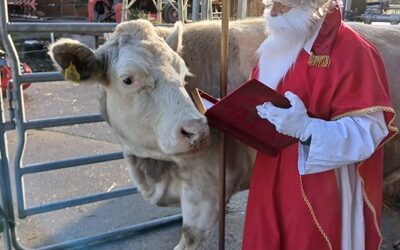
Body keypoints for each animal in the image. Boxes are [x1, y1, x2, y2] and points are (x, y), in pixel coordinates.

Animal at [47, 18, 400, 250]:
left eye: (183, 73)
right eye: (128, 79)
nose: (197, 130)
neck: (152, 169)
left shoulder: (206, 191)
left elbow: (189, 237)